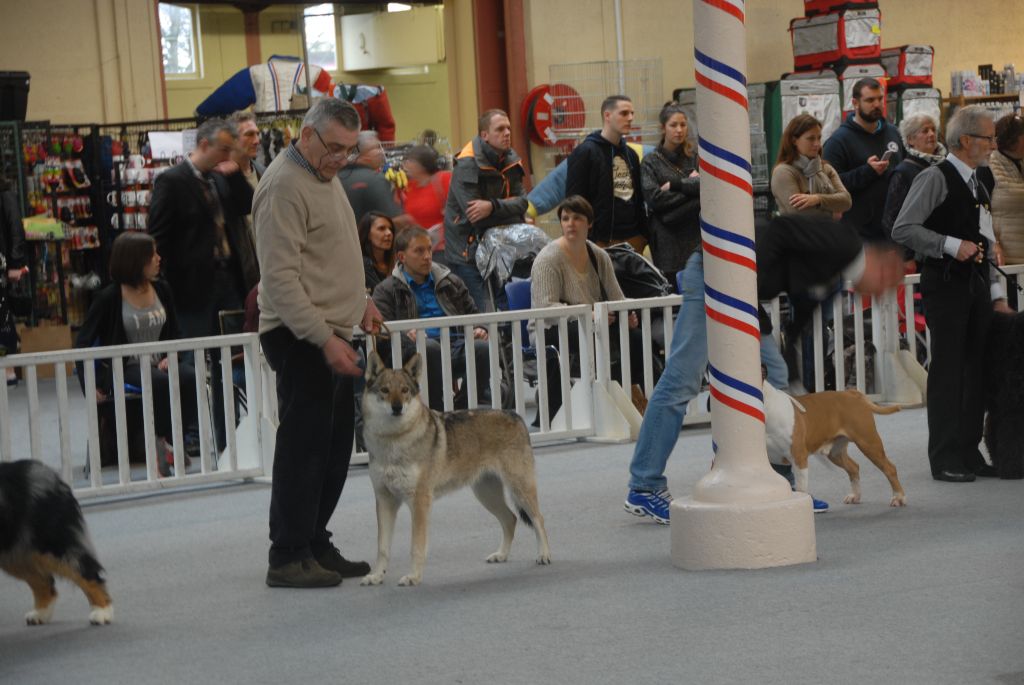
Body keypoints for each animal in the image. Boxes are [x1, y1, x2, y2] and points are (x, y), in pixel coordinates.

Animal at [0, 458, 112, 626]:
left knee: (87, 571)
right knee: (44, 582)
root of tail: (55, 477)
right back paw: (40, 614)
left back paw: (102, 612)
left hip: (53, 545)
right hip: (16, 552)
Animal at [360, 350, 552, 585]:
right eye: (385, 390)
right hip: (486, 495)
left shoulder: (420, 502)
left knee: (538, 519)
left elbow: (416, 547)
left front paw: (413, 577)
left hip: (519, 490)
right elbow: (382, 548)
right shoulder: (384, 501)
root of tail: (515, 414)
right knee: (511, 519)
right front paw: (377, 576)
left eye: (404, 391)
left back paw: (544, 555)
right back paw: (501, 555)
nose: (397, 408)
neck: (392, 442)